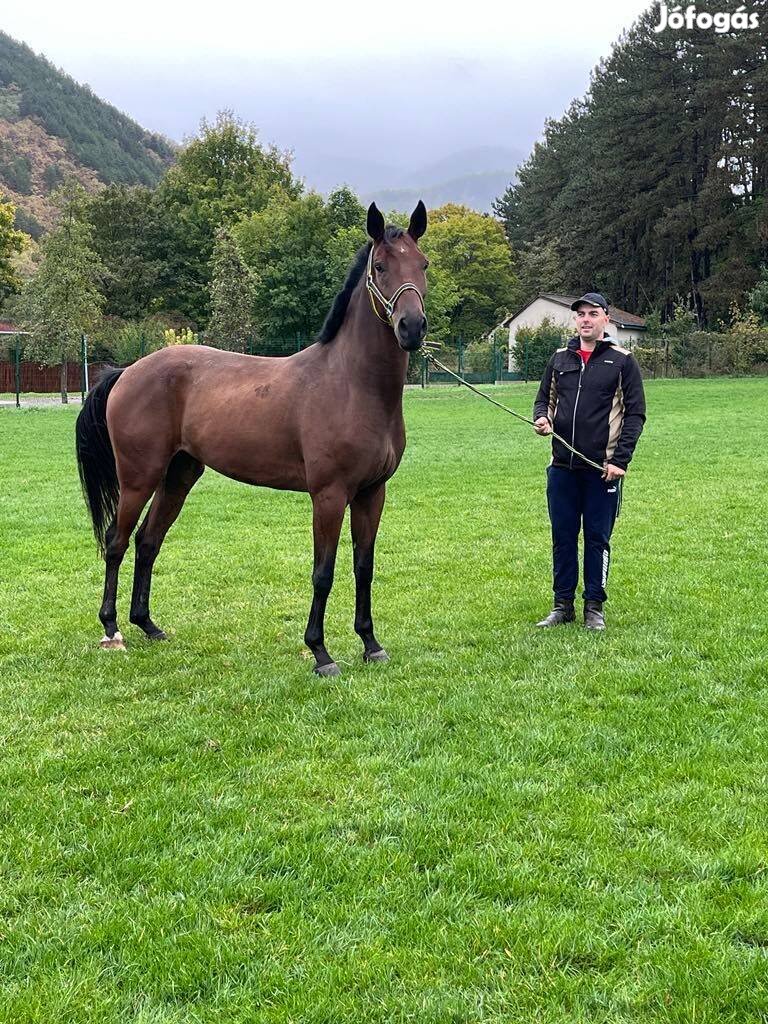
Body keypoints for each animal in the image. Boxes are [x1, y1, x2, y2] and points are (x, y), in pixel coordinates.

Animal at [75, 201, 430, 679]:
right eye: (379, 266)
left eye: (423, 264)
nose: (412, 327)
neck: (351, 383)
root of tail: (127, 371)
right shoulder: (329, 495)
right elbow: (323, 572)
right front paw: (321, 654)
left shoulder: (372, 493)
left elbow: (363, 566)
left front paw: (370, 643)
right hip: (138, 478)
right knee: (117, 541)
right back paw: (112, 630)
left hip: (178, 476)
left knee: (148, 541)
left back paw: (148, 625)